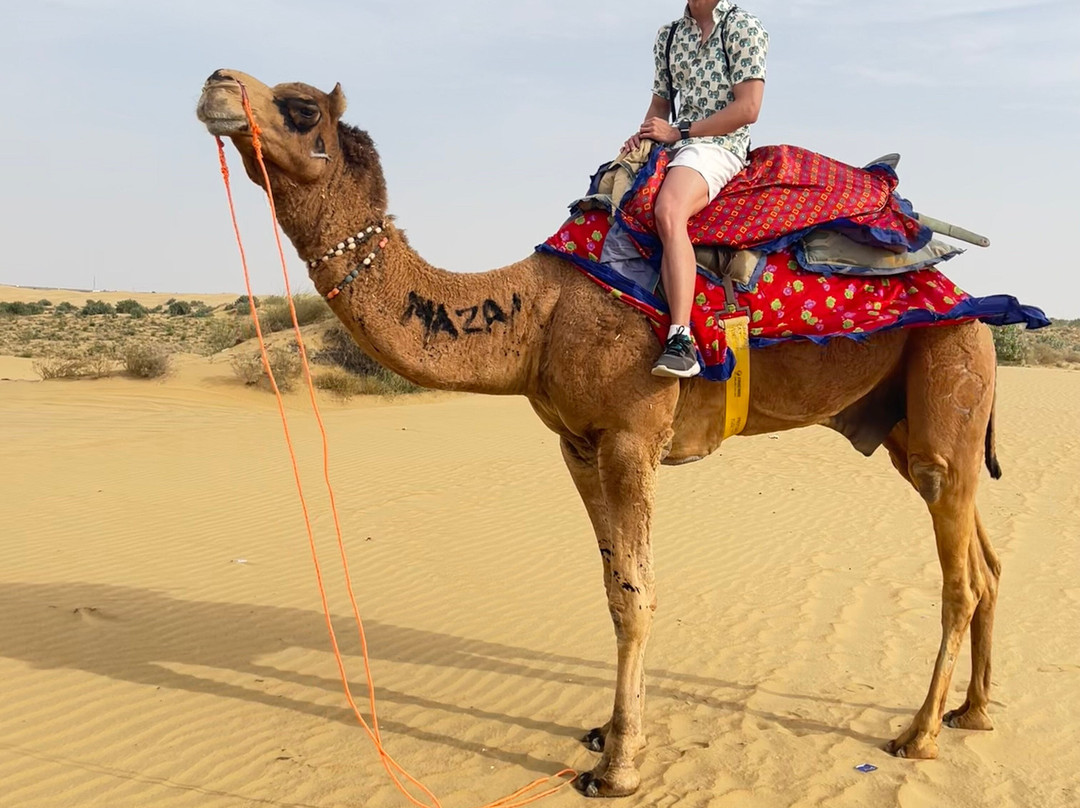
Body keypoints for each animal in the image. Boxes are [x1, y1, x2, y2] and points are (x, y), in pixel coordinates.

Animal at [197, 70, 1004, 798]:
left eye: (301, 108)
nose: (215, 85)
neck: (536, 315)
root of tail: (974, 303)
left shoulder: (630, 435)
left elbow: (635, 595)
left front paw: (617, 768)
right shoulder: (577, 444)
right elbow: (611, 584)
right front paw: (609, 734)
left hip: (950, 371)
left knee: (960, 575)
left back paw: (918, 734)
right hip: (903, 421)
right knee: (985, 562)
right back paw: (973, 713)